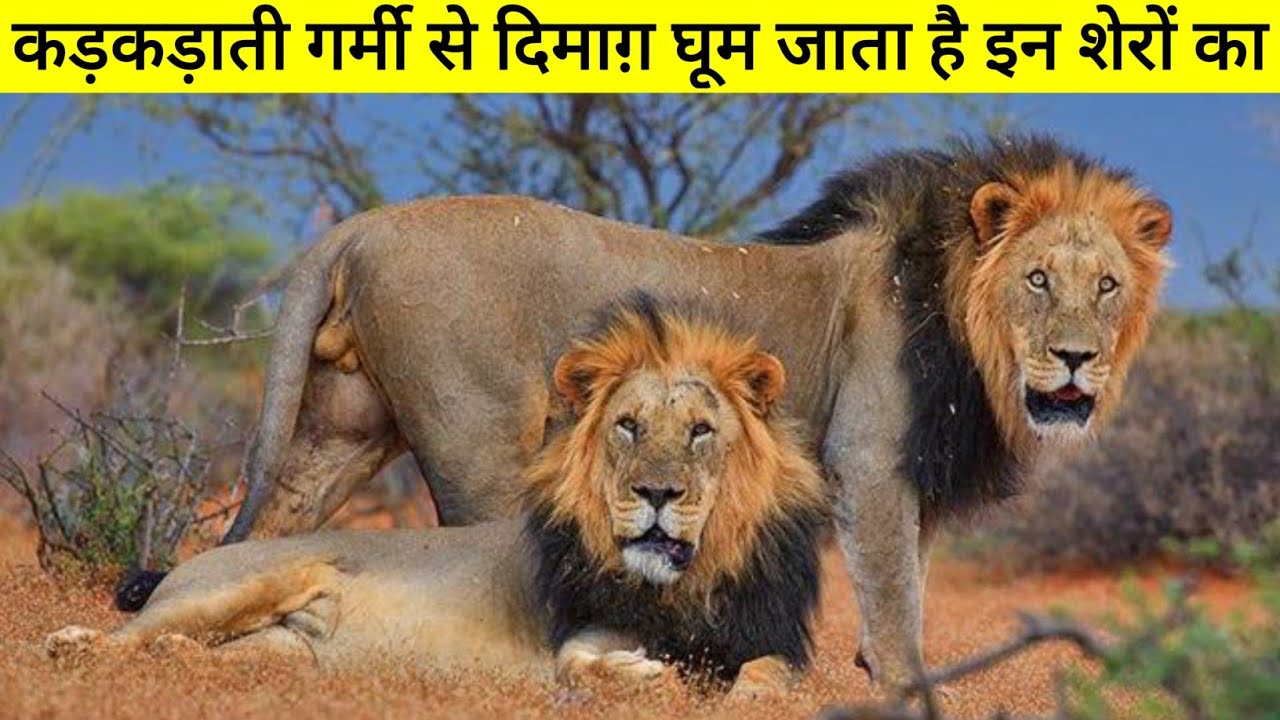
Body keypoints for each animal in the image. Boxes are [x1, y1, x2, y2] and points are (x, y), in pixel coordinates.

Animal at [59, 303, 830, 697]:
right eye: (628, 426)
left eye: (701, 431)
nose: (658, 492)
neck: (686, 585)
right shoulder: (576, 640)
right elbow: (590, 666)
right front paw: (645, 673)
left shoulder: (775, 643)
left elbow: (768, 678)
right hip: (231, 587)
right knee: (117, 639)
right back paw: (73, 642)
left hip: (277, 653)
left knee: (193, 654)